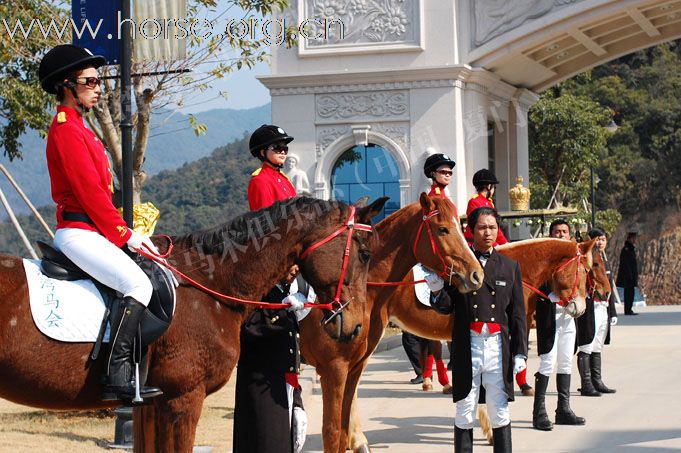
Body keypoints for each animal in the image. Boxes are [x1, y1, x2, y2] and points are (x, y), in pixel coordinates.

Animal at [298, 196, 484, 452]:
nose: (476, 274)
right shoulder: (333, 369)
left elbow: (343, 428)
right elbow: (332, 432)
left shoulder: (354, 367)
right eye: (443, 229)